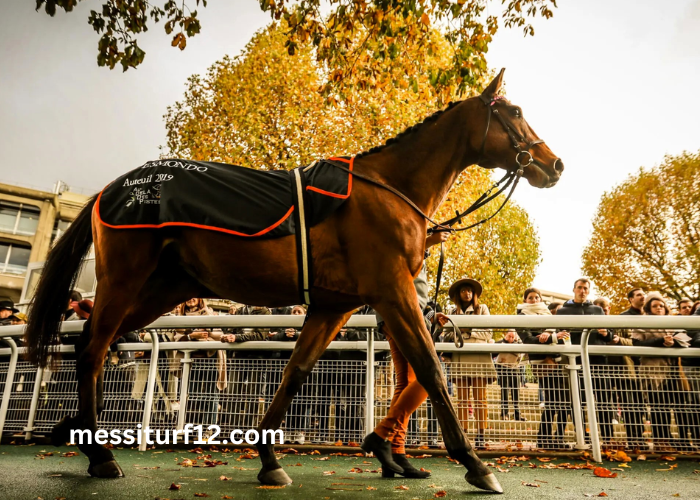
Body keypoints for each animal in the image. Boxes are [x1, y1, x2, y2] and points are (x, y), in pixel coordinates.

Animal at [24, 68, 564, 494]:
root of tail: (111, 189)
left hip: (162, 289)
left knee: (92, 343)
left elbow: (296, 371)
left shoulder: (334, 304)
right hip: (125, 277)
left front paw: (269, 459)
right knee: (94, 348)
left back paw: (76, 430)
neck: (388, 189)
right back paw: (100, 455)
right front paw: (475, 464)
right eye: (515, 111)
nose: (553, 163)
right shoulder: (392, 290)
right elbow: (431, 370)